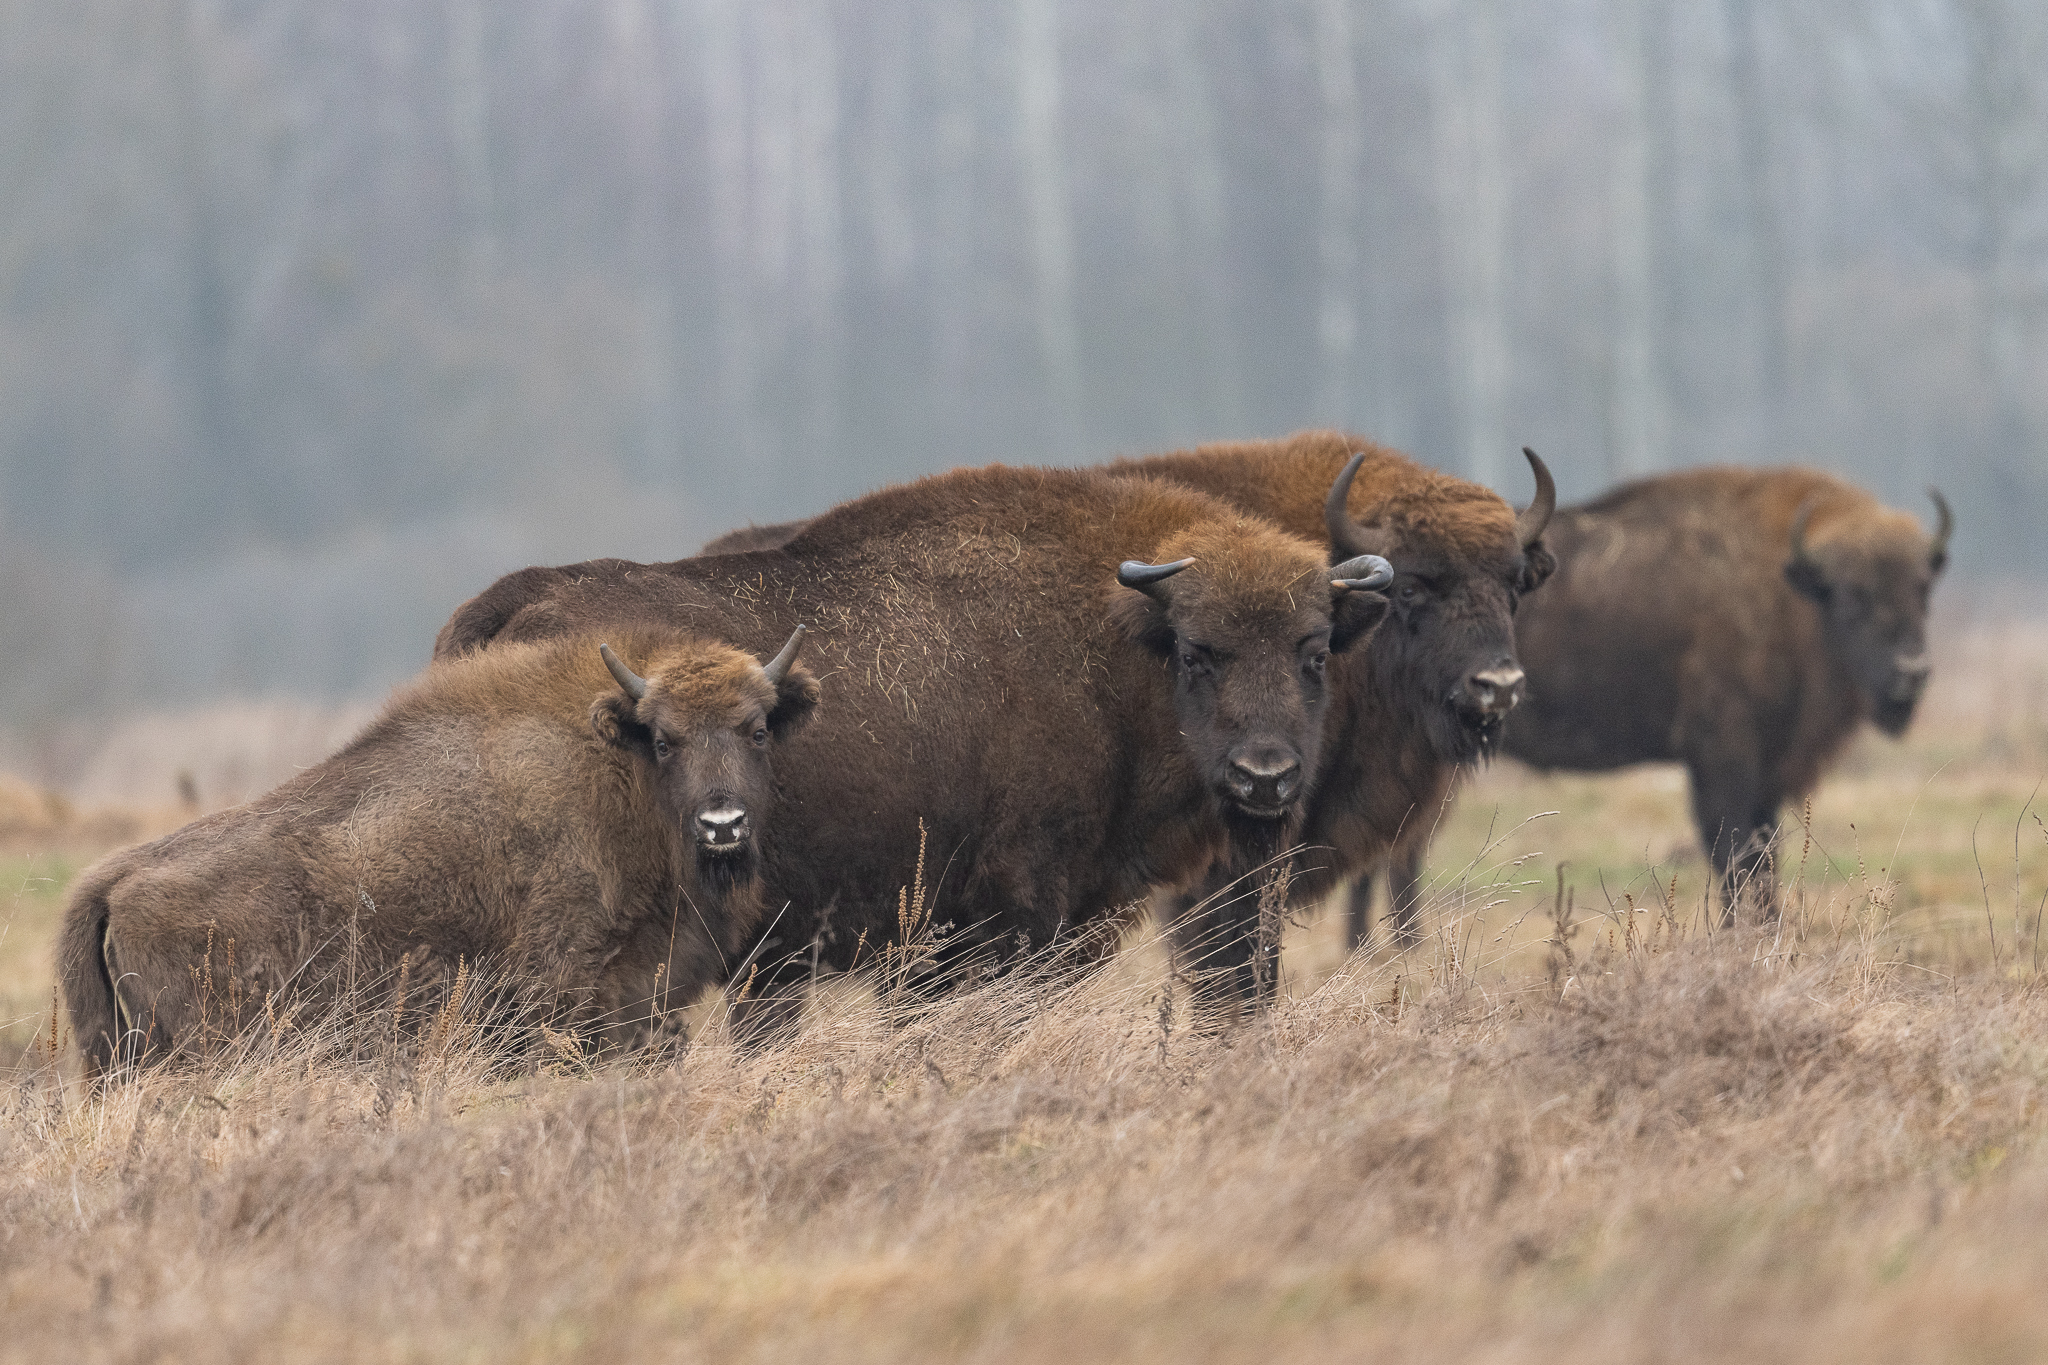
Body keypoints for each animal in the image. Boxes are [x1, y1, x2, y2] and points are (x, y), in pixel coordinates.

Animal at [60, 626, 817, 1074]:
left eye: (757, 730)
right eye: (664, 739)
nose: (722, 824)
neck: (618, 774)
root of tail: (112, 883)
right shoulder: (574, 992)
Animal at [435, 464, 1392, 1033]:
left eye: (1314, 651)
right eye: (1198, 652)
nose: (1266, 777)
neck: (1114, 640)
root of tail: (510, 605)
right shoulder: (1014, 912)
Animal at [1498, 466, 1950, 918]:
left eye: (1923, 588)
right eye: (1852, 593)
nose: (1912, 672)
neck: (1787, 591)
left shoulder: (1768, 774)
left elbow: (1765, 857)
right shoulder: (1721, 760)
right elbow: (1734, 858)